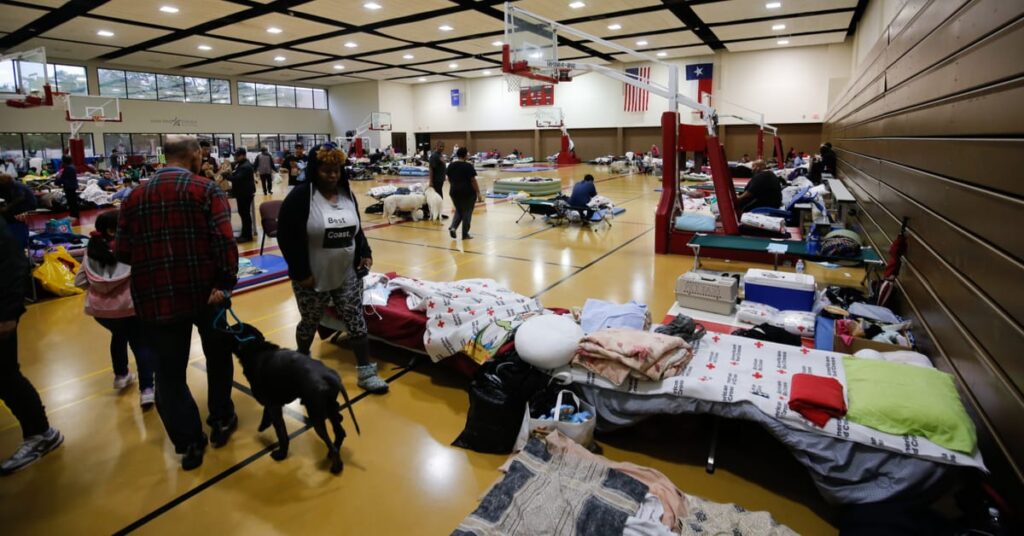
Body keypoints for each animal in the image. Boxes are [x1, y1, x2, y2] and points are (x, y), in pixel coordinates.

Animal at [227, 323, 360, 473]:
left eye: (228, 330)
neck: (255, 347)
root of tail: (328, 375)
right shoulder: (273, 403)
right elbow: (267, 415)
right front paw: (264, 424)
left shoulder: (274, 407)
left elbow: (282, 434)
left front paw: (281, 454)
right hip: (329, 409)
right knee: (340, 432)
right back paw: (333, 454)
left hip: (317, 416)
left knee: (333, 443)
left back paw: (336, 467)